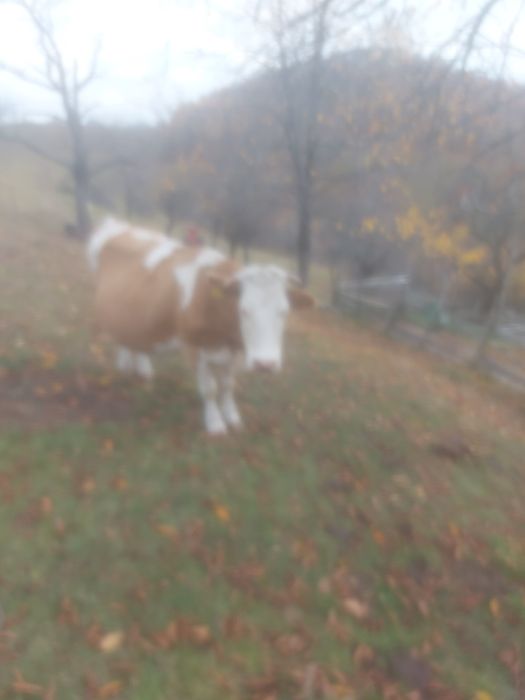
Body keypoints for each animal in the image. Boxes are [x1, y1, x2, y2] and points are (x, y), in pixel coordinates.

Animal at [87, 218, 313, 435]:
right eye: (243, 309)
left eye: (284, 311)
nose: (265, 365)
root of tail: (119, 224)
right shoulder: (195, 347)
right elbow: (210, 389)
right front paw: (215, 424)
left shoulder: (234, 351)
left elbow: (228, 385)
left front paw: (232, 417)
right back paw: (124, 367)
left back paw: (141, 370)